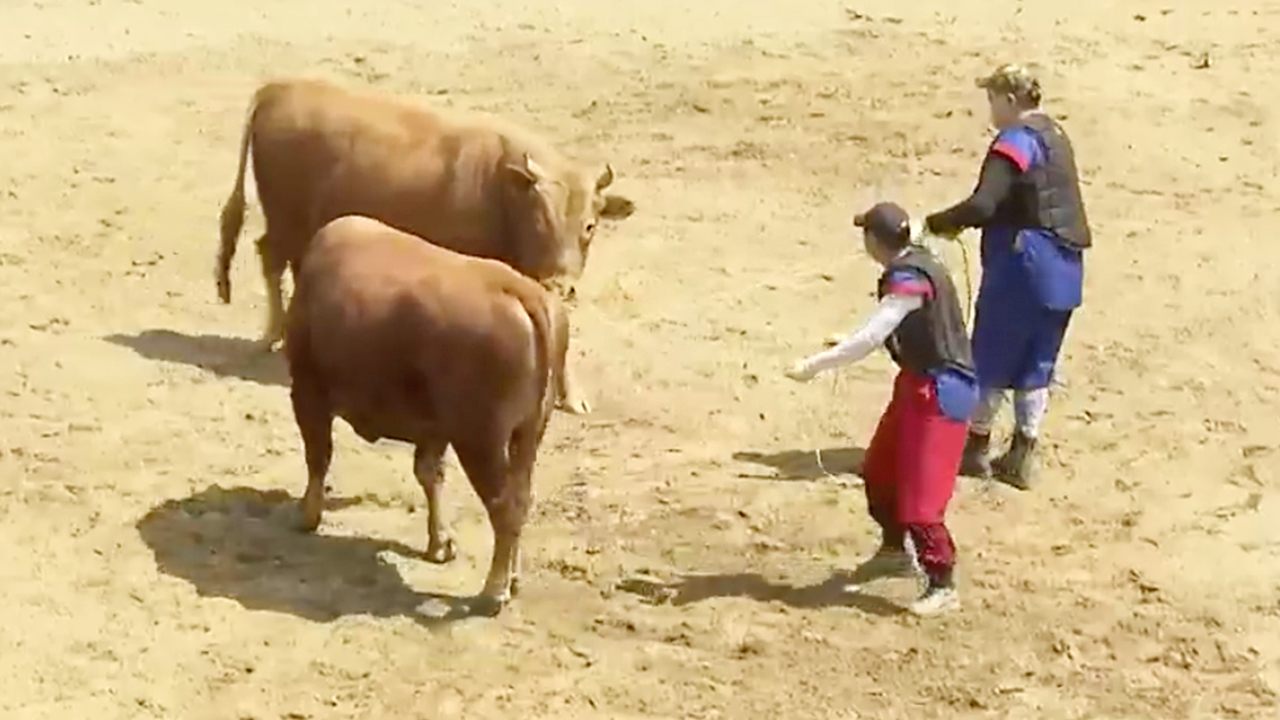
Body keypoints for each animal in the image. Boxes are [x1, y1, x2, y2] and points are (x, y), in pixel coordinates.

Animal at [215, 75, 634, 412]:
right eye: (539, 218)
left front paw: (572, 396)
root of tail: (279, 88)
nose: (560, 282)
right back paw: (272, 336)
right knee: (272, 260)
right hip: (286, 222)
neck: (502, 186)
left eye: (590, 226)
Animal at [290, 213, 570, 617]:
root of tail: (521, 292)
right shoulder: (435, 430)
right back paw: (512, 579)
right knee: (521, 499)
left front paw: (308, 515)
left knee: (505, 507)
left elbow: (318, 457)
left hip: (480, 442)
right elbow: (429, 474)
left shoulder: (307, 392)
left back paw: (493, 590)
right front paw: (440, 543)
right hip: (527, 435)